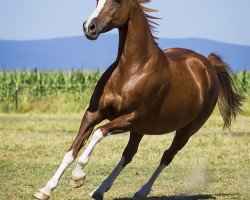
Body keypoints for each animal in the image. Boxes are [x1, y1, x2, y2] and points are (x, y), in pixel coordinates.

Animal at [33, 0, 244, 200]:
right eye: (96, 1)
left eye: (117, 1)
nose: (89, 27)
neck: (132, 69)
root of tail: (208, 64)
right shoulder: (94, 113)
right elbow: (72, 151)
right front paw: (45, 190)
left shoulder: (130, 118)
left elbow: (98, 134)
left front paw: (78, 177)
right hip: (141, 129)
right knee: (129, 154)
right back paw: (100, 190)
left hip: (186, 130)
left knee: (167, 156)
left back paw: (141, 191)